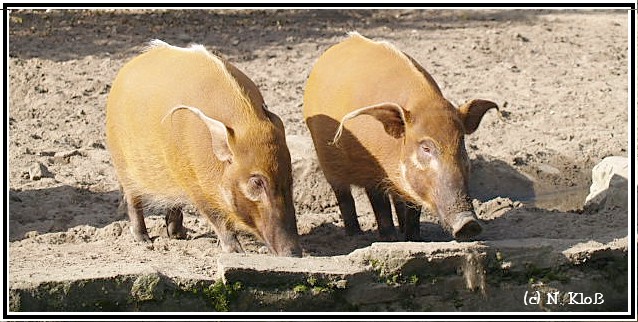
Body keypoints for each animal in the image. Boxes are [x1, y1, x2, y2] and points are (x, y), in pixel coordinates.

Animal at [105, 40, 302, 256]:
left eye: (290, 177)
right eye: (257, 182)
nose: (294, 252)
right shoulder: (197, 187)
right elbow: (217, 217)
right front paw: (236, 251)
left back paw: (177, 234)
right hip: (123, 165)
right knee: (133, 200)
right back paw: (144, 239)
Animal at [304, 32, 500, 242]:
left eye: (461, 142)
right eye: (426, 147)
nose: (469, 224)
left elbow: (413, 209)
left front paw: (414, 239)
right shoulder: (370, 171)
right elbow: (380, 206)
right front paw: (390, 239)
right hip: (328, 166)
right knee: (344, 197)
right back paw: (355, 234)